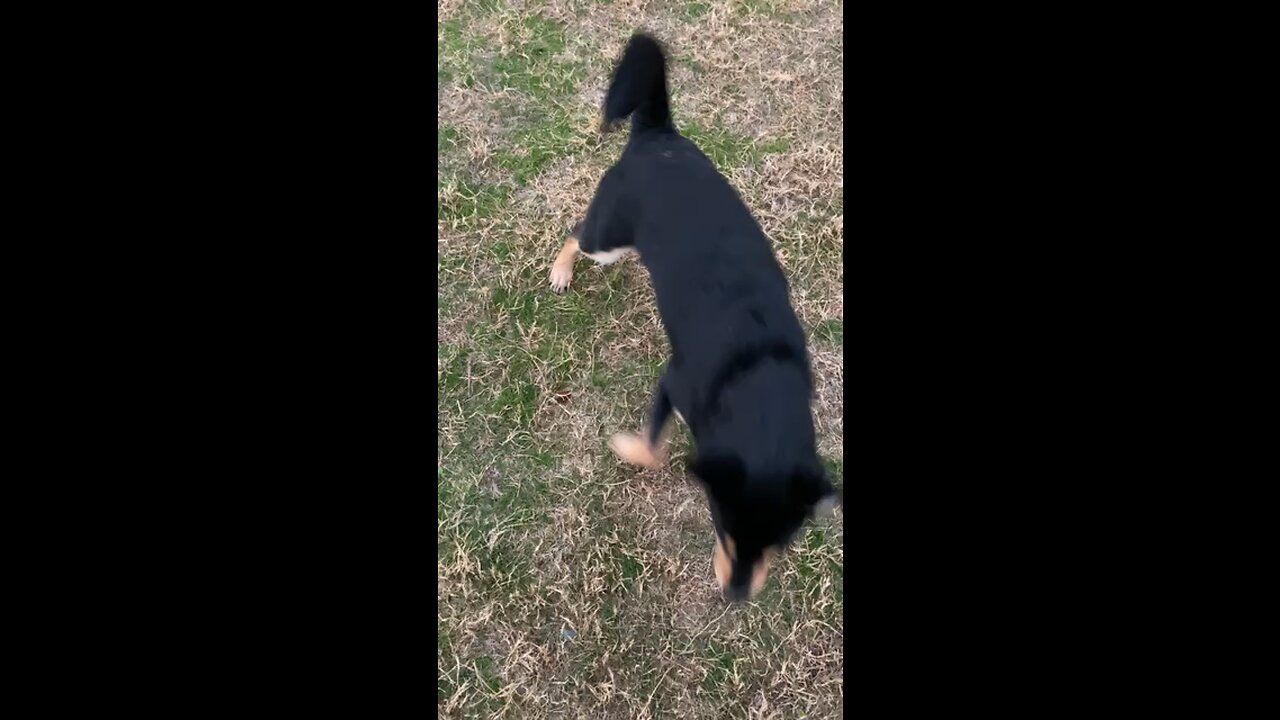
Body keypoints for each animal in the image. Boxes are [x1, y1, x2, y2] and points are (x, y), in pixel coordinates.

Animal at [550, 32, 839, 599]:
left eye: (779, 544)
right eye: (723, 527)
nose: (737, 597)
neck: (758, 384)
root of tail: (657, 133)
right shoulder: (673, 383)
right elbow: (654, 447)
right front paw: (628, 448)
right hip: (608, 239)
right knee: (575, 234)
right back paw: (560, 271)